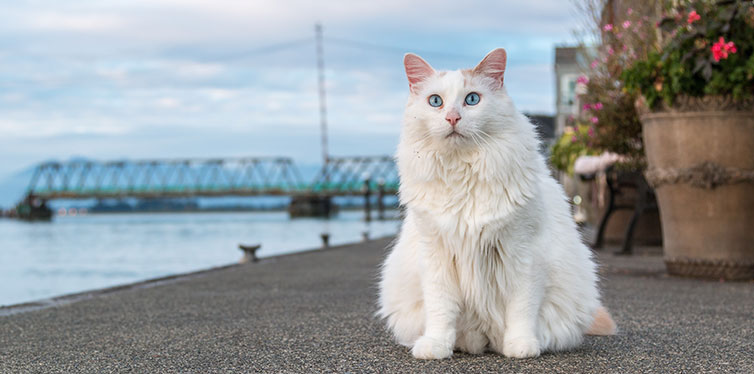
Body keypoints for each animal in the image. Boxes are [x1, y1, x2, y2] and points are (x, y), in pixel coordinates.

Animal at [378, 49, 612, 360]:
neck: (462, 172)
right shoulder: (436, 256)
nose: (453, 118)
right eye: (435, 101)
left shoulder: (523, 254)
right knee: (470, 334)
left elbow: (521, 309)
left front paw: (521, 346)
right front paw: (435, 346)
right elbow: (440, 310)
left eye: (472, 99)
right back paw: (469, 341)